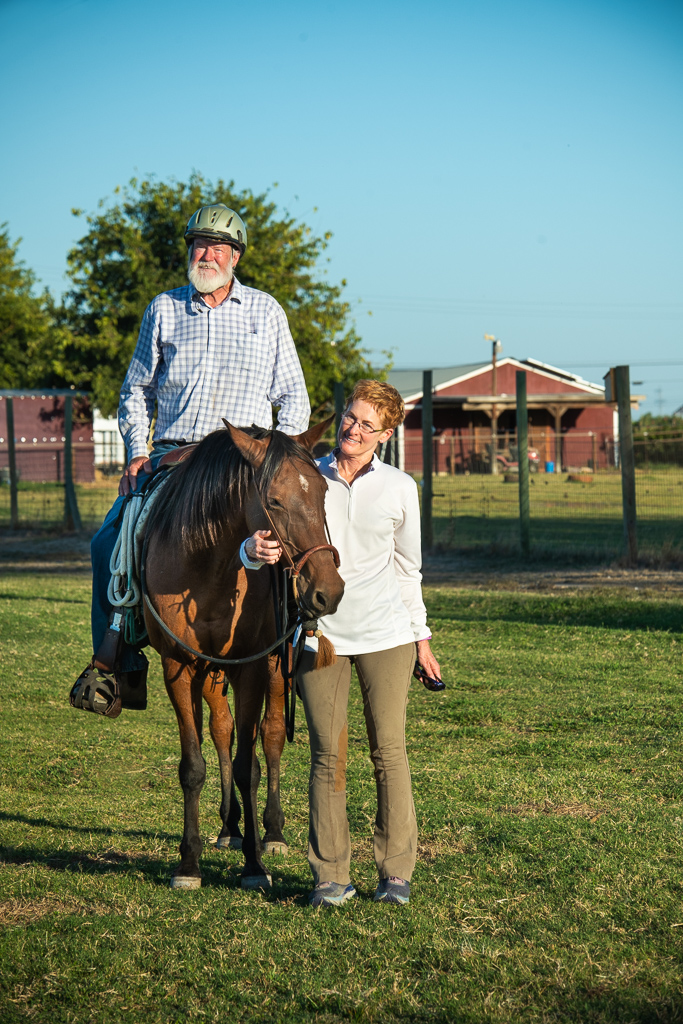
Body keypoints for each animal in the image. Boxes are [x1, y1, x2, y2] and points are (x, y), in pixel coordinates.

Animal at [141, 419, 344, 892]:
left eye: (323, 494)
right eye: (273, 501)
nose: (329, 591)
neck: (207, 566)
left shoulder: (252, 667)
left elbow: (249, 764)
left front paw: (254, 863)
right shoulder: (178, 667)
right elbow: (194, 764)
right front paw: (188, 864)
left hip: (270, 668)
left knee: (270, 737)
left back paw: (270, 832)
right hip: (211, 673)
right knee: (222, 729)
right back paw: (228, 826)